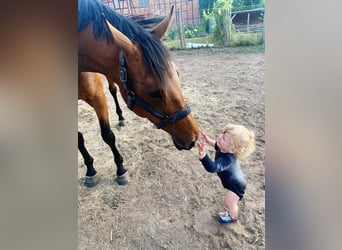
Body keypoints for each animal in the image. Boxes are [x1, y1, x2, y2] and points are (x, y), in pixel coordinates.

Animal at [78, 0, 199, 187]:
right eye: (154, 93)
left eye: (178, 74)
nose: (193, 138)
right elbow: (80, 139)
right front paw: (90, 170)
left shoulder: (98, 97)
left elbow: (107, 135)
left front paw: (120, 169)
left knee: (113, 90)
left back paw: (121, 118)